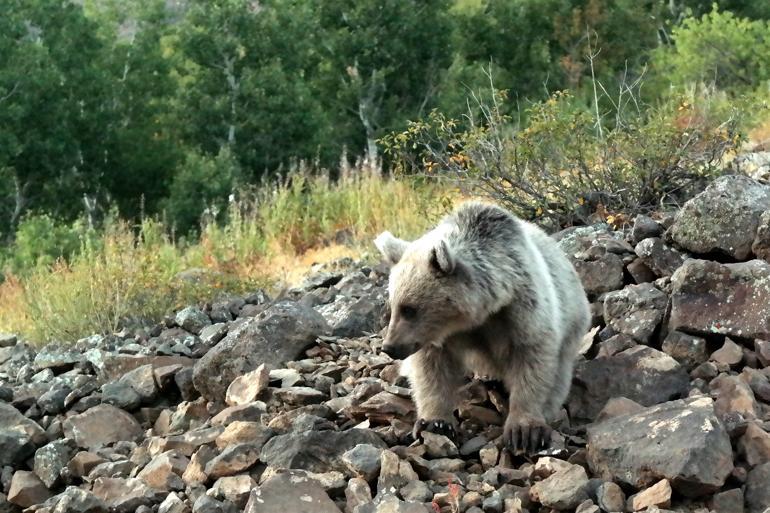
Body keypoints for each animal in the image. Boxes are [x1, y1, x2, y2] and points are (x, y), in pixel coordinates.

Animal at [372, 200, 588, 452]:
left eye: (409, 309)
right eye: (392, 306)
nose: (390, 347)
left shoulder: (524, 307)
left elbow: (533, 358)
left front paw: (525, 431)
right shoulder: (435, 338)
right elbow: (430, 369)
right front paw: (435, 422)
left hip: (572, 321)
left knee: (560, 372)